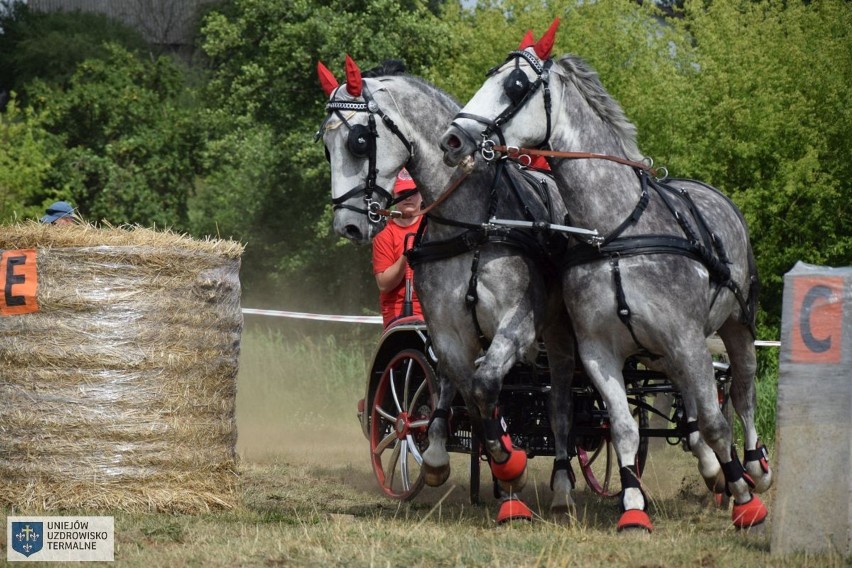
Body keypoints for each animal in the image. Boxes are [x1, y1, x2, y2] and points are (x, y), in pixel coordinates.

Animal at [320, 57, 580, 520]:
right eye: (325, 148)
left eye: (359, 140)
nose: (347, 225)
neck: (472, 223)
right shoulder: (447, 329)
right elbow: (471, 391)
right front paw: (496, 467)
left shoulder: (518, 324)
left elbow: (488, 385)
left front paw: (510, 466)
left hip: (559, 332)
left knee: (562, 400)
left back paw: (564, 485)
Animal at [440, 20, 772, 532]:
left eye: (514, 84)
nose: (453, 139)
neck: (615, 229)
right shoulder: (599, 350)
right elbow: (624, 427)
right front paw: (633, 505)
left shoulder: (686, 337)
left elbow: (718, 422)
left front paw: (743, 497)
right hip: (662, 353)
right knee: (690, 406)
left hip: (736, 325)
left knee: (741, 392)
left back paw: (755, 468)